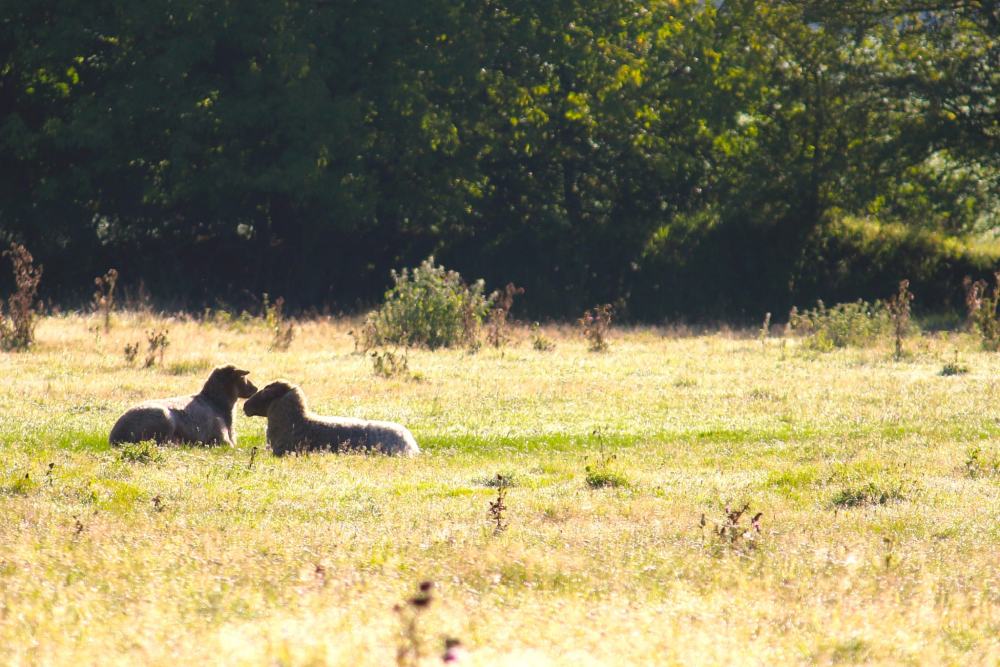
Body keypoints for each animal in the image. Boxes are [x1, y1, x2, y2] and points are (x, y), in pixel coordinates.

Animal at [110, 362, 258, 446]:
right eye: (243, 377)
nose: (255, 388)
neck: (216, 403)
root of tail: (115, 437)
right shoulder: (222, 440)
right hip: (164, 420)